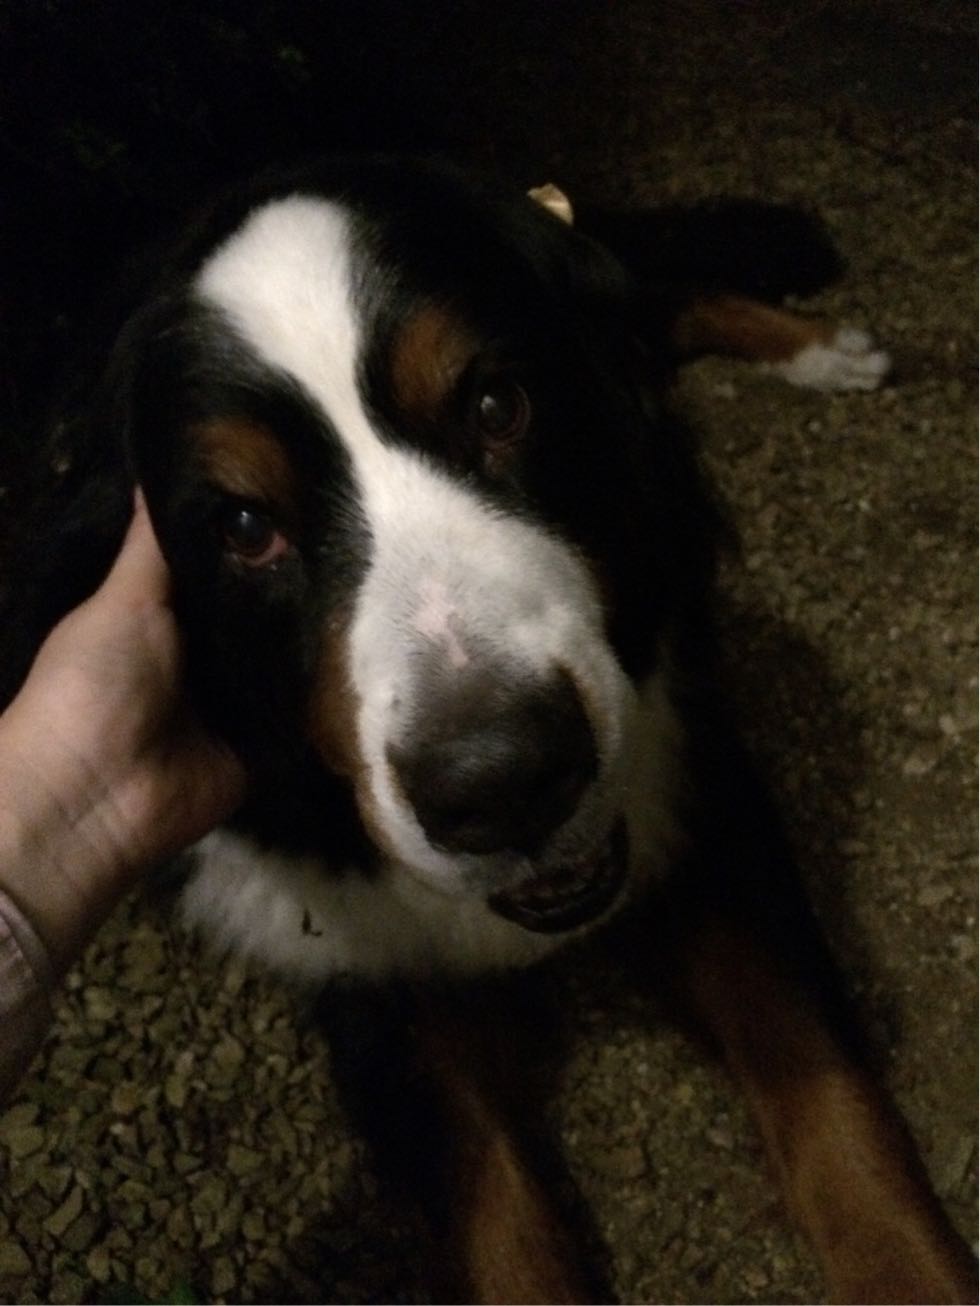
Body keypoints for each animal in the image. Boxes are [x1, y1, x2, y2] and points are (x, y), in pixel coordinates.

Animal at [0, 156, 974, 1303]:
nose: (504, 779)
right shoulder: (378, 979)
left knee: (648, 289)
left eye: (498, 406)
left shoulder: (693, 782)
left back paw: (821, 348)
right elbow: (504, 1232)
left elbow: (833, 1102)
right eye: (244, 526)